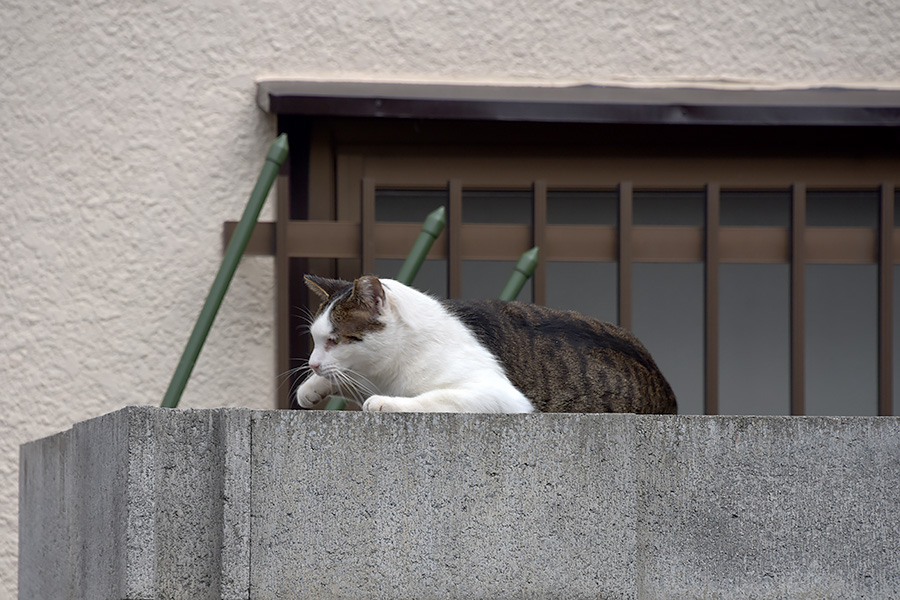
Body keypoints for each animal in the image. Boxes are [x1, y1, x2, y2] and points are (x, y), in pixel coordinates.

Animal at [294, 276, 676, 412]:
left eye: (335, 340)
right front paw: (311, 388)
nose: (312, 363)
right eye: (315, 340)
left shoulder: (498, 394)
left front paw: (384, 402)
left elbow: (431, 397)